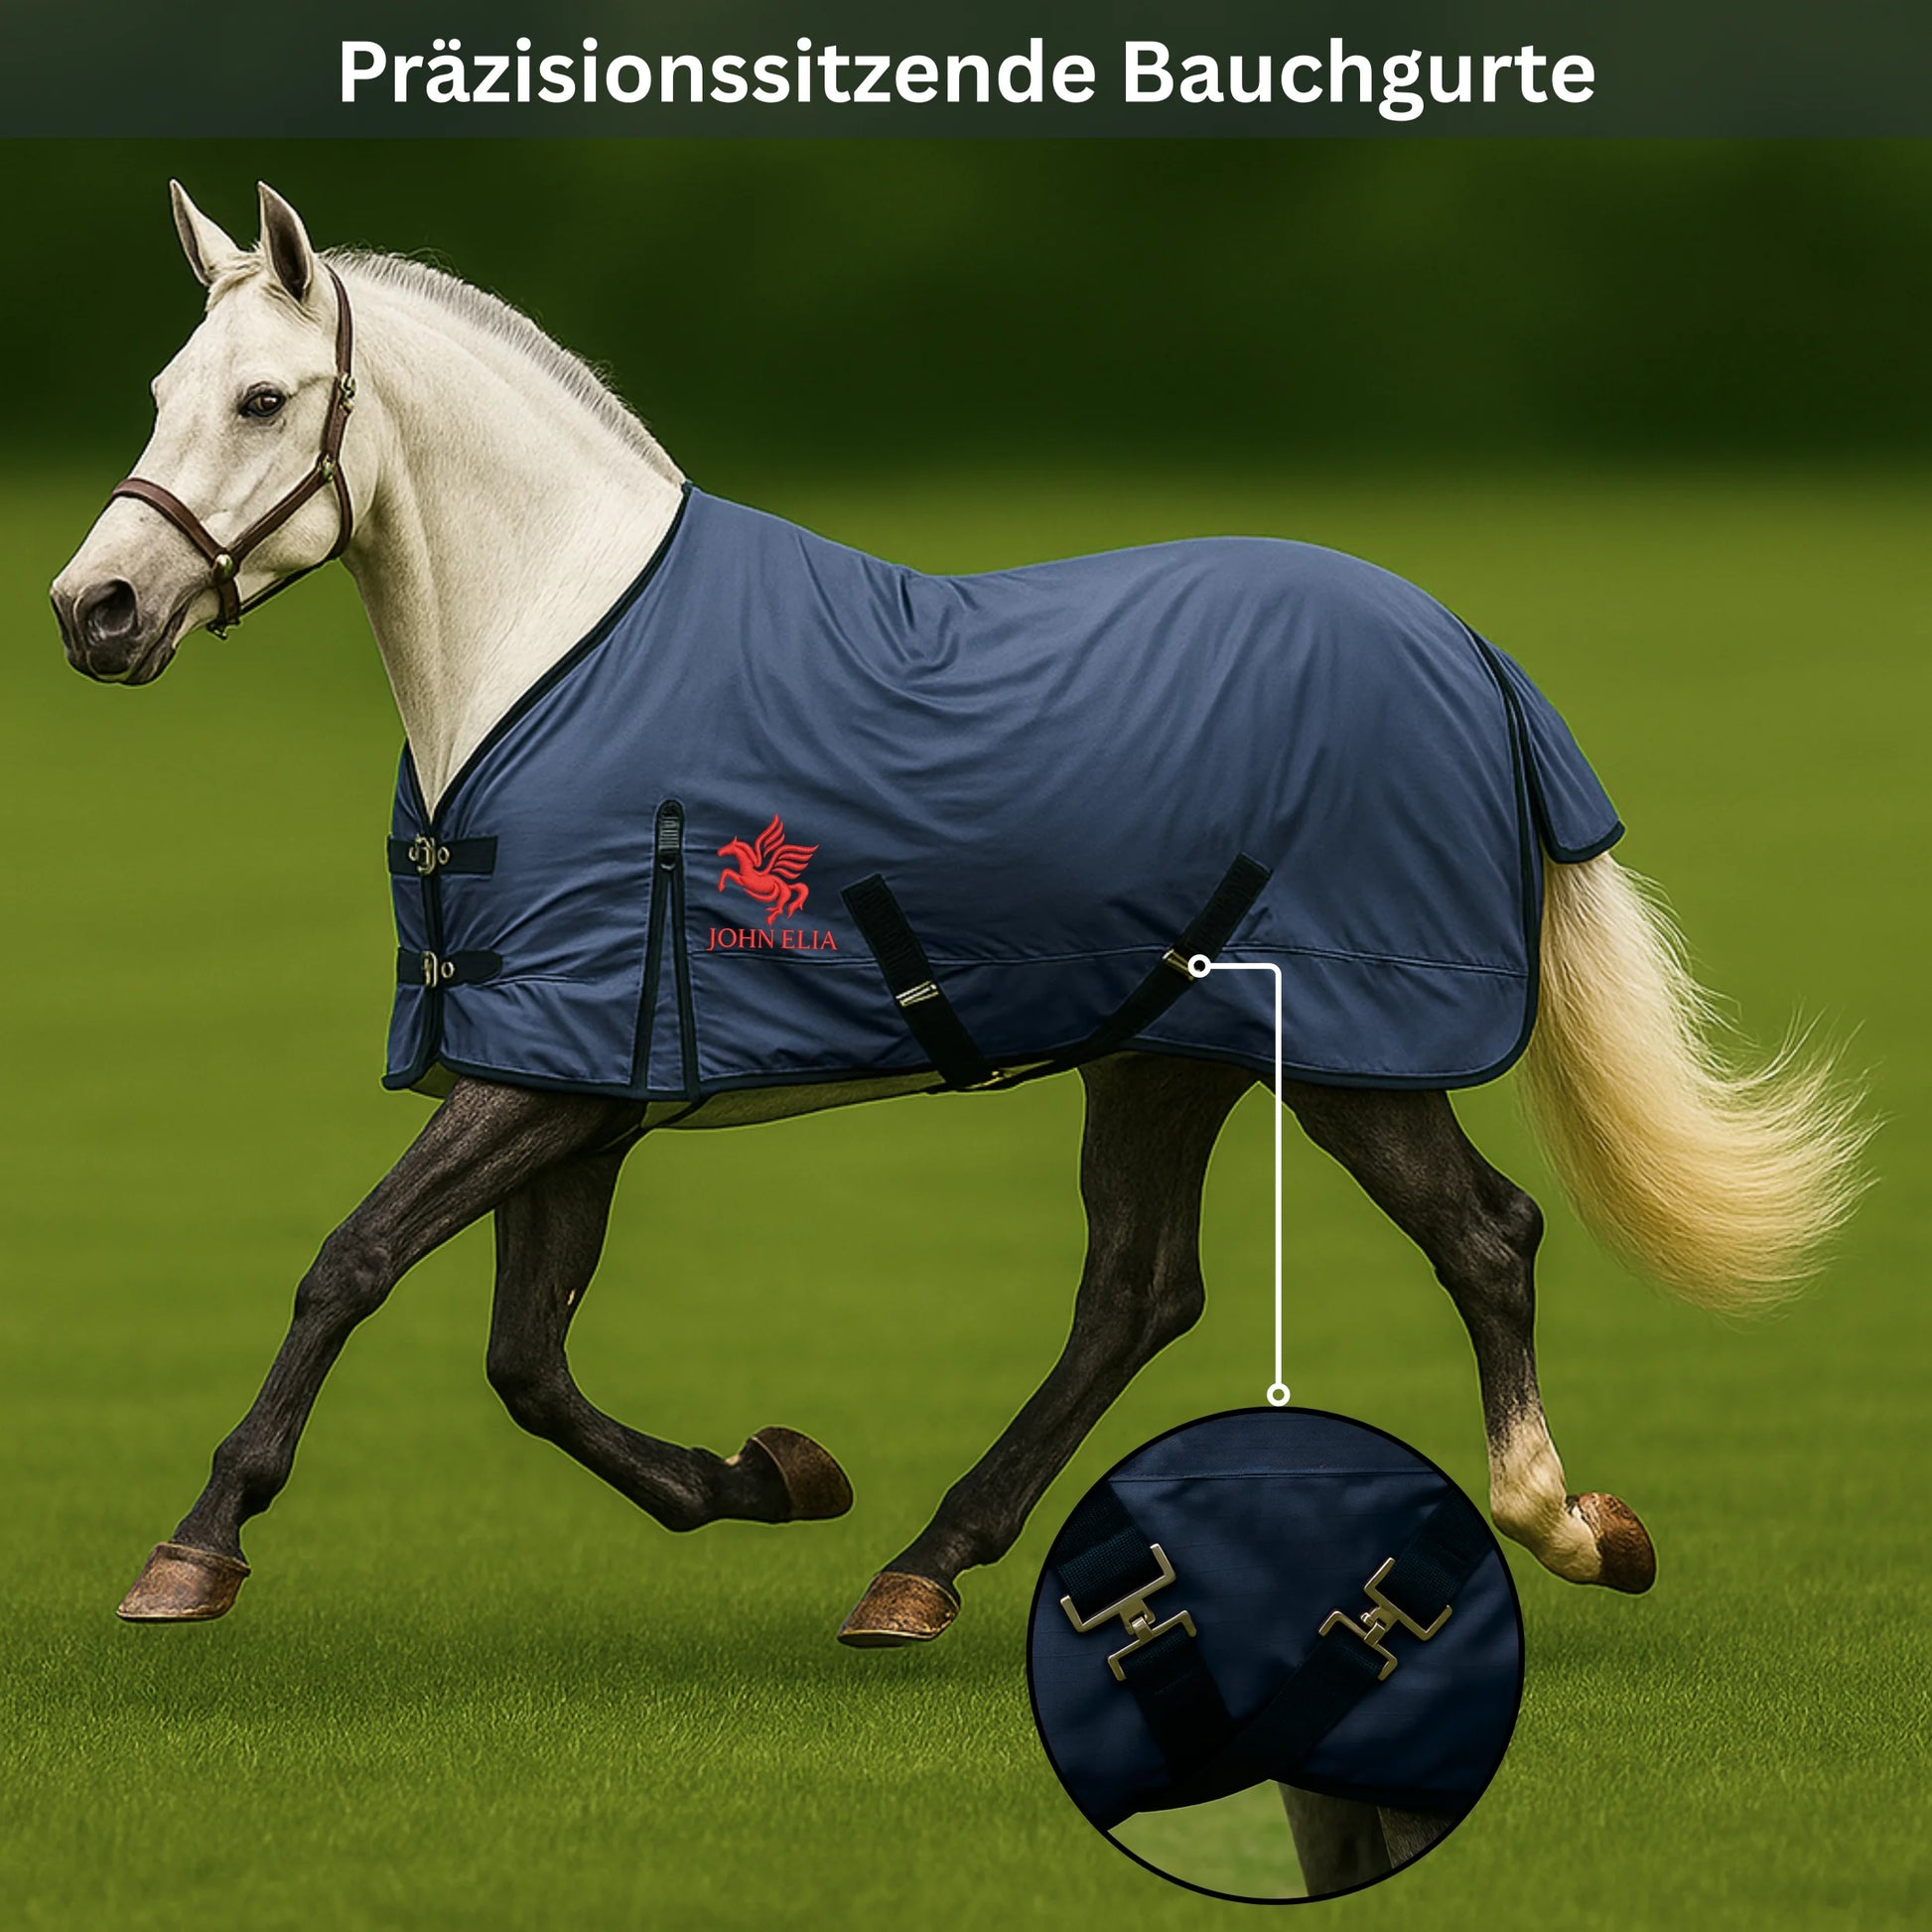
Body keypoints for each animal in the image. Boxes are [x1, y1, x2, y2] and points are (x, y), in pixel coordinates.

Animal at [50, 186, 1863, 1680]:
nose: (93, 611)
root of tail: (1473, 655)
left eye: (263, 399)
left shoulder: (551, 1073)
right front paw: (767, 1474)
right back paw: (918, 1567)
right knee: (1137, 1291)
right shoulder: (573, 1078)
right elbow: (525, 1361)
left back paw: (1563, 1523)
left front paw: (192, 1551)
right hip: (1166, 1053)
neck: (554, 654)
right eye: (157, 396)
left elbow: (350, 1267)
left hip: (1342, 1050)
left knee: (1481, 1237)